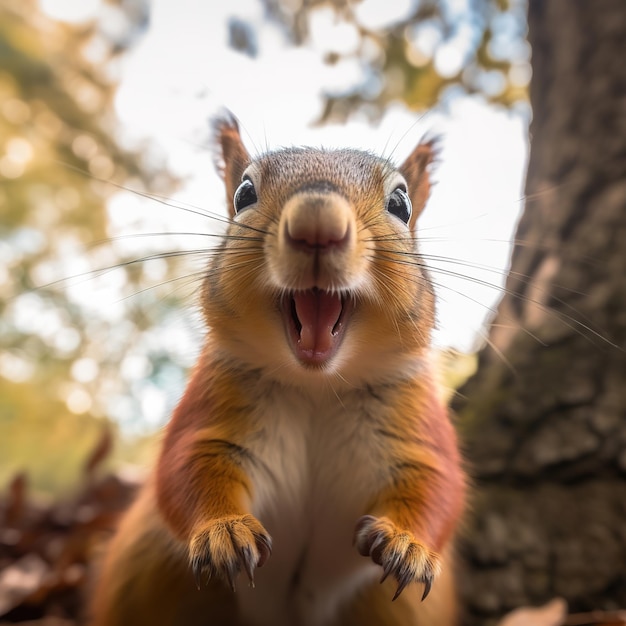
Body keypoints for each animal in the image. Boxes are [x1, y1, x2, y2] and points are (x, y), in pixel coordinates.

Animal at [88, 113, 464, 624]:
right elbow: (186, 466)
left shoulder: (416, 421)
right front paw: (225, 531)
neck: (317, 387)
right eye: (244, 194)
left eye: (401, 203)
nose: (317, 225)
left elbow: (437, 483)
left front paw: (408, 544)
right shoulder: (213, 407)